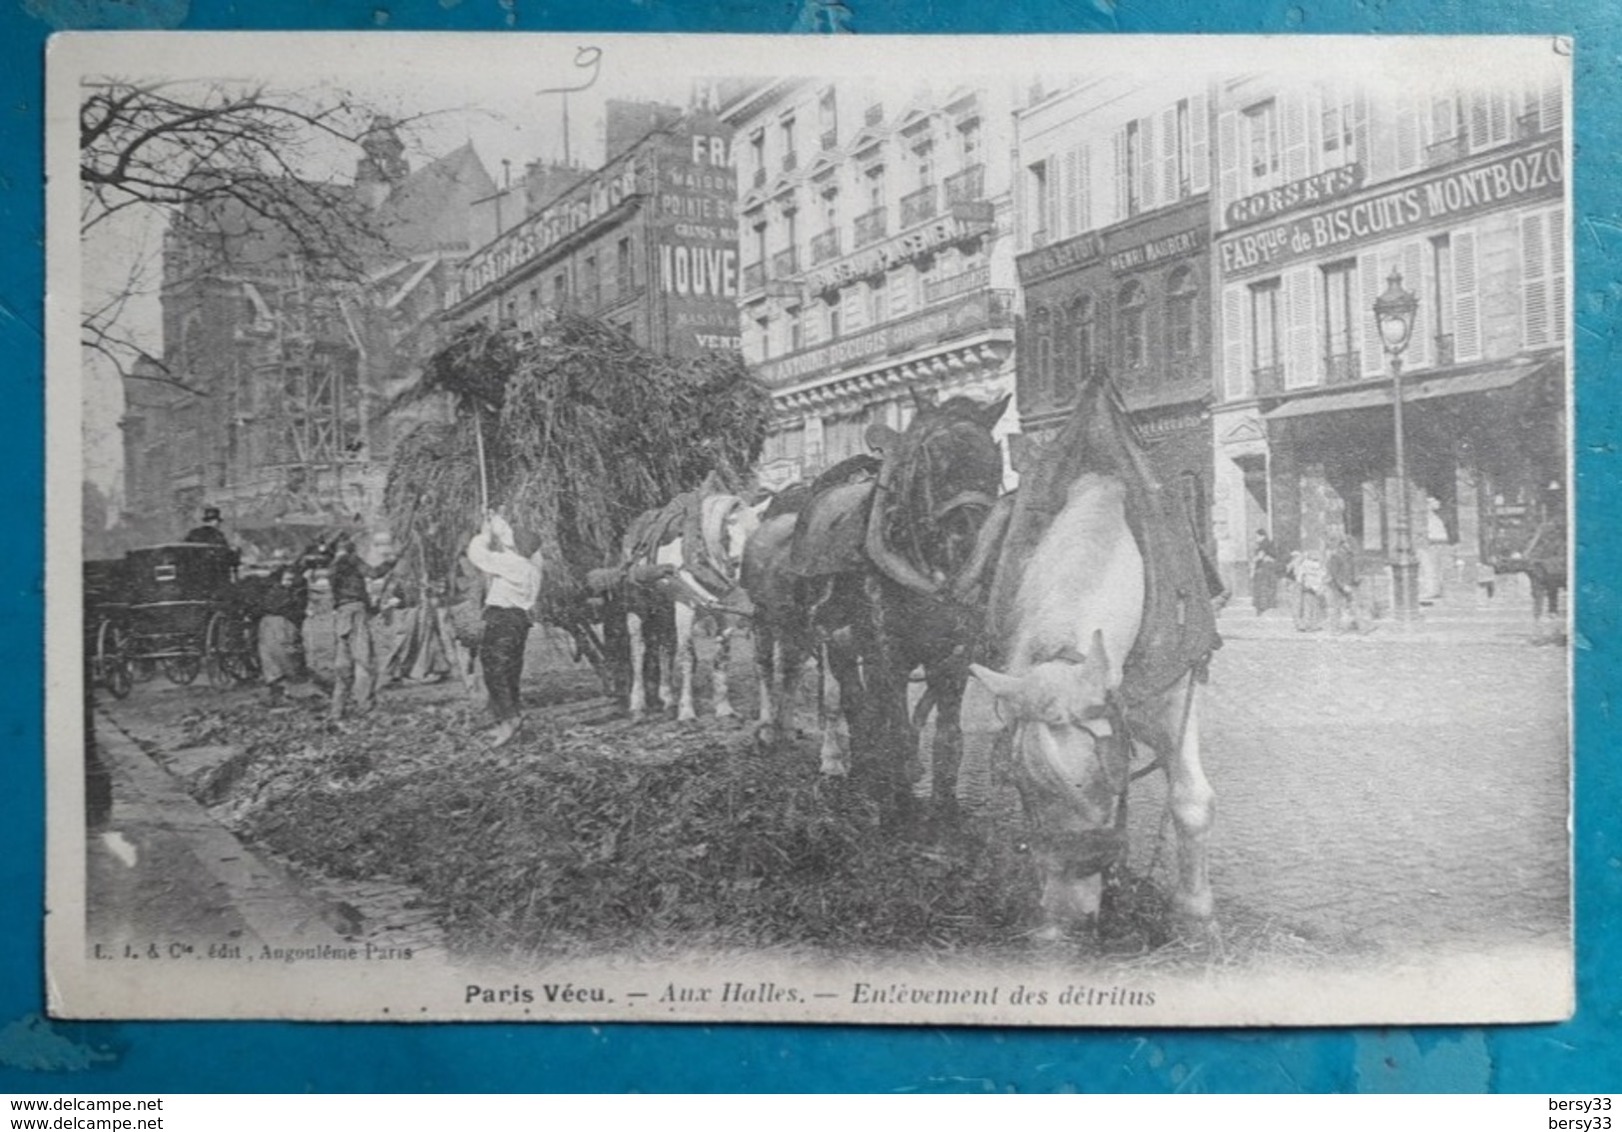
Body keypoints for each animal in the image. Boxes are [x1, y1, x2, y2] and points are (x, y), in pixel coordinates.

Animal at [626, 486, 765, 720]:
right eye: (727, 535)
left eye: (757, 532)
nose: (746, 572)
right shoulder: (685, 610)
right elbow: (687, 657)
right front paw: (686, 711)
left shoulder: (725, 614)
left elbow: (721, 656)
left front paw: (724, 708)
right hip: (637, 609)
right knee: (638, 651)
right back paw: (637, 704)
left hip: (664, 611)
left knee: (665, 649)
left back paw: (667, 699)